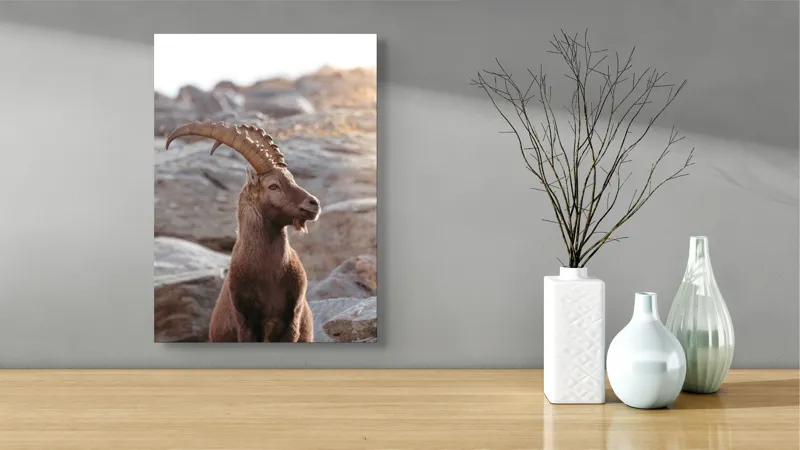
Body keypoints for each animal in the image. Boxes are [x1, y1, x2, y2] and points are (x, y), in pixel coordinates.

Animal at [165, 121, 321, 342]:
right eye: (273, 186)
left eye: (292, 179)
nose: (313, 204)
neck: (269, 274)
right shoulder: (246, 323)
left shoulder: (292, 321)